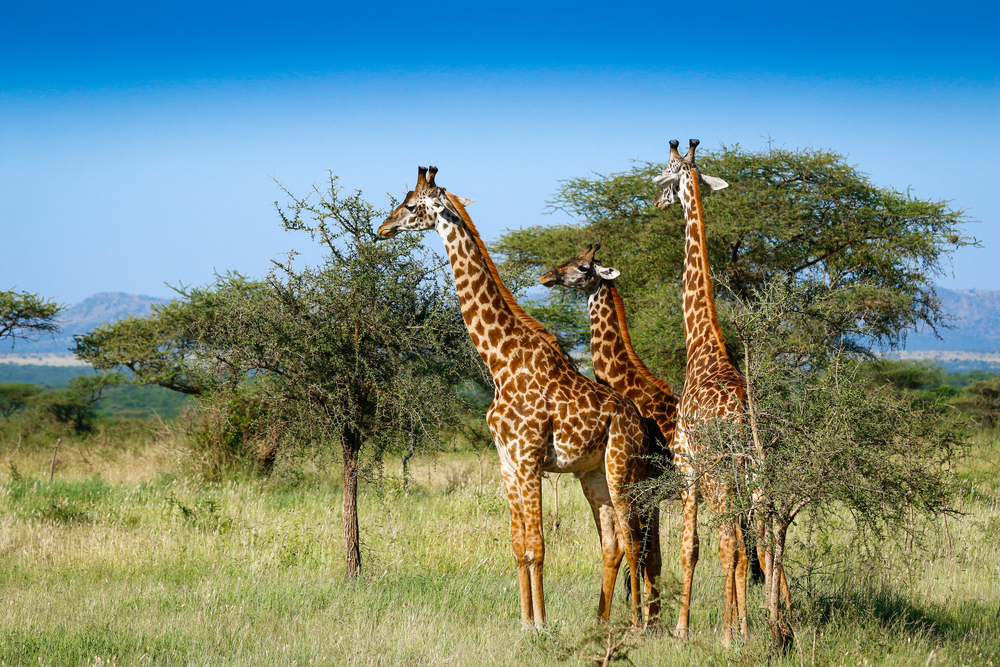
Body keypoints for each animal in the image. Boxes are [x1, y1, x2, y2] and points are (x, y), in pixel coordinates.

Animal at [377, 166, 656, 629]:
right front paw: (524, 622)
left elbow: (537, 546)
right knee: (613, 542)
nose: (383, 228)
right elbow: (517, 546)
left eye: (413, 205)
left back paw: (637, 623)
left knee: (634, 539)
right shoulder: (506, 462)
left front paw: (541, 624)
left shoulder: (528, 459)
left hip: (622, 468)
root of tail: (640, 422)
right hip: (593, 474)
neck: (499, 360)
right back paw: (601, 621)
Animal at [539, 243, 681, 627]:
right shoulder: (651, 492)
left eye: (584, 267)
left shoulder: (647, 487)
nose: (547, 276)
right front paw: (652, 620)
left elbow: (646, 554)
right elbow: (652, 557)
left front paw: (645, 620)